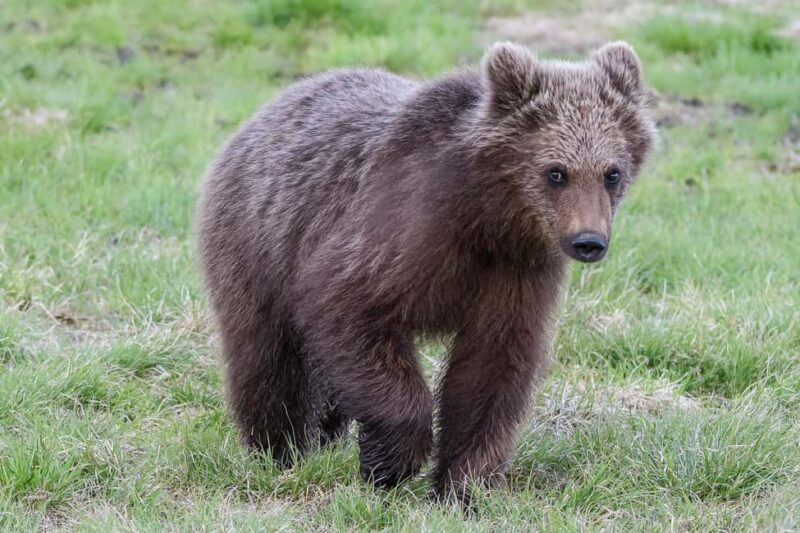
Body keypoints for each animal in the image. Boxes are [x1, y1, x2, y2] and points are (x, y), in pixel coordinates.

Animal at [197, 41, 655, 499]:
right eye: (556, 172)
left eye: (612, 173)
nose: (588, 241)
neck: (487, 217)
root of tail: (267, 111)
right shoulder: (400, 234)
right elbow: (346, 307)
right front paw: (390, 461)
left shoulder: (517, 273)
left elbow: (490, 370)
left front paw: (464, 485)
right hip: (260, 244)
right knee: (266, 359)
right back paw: (279, 450)